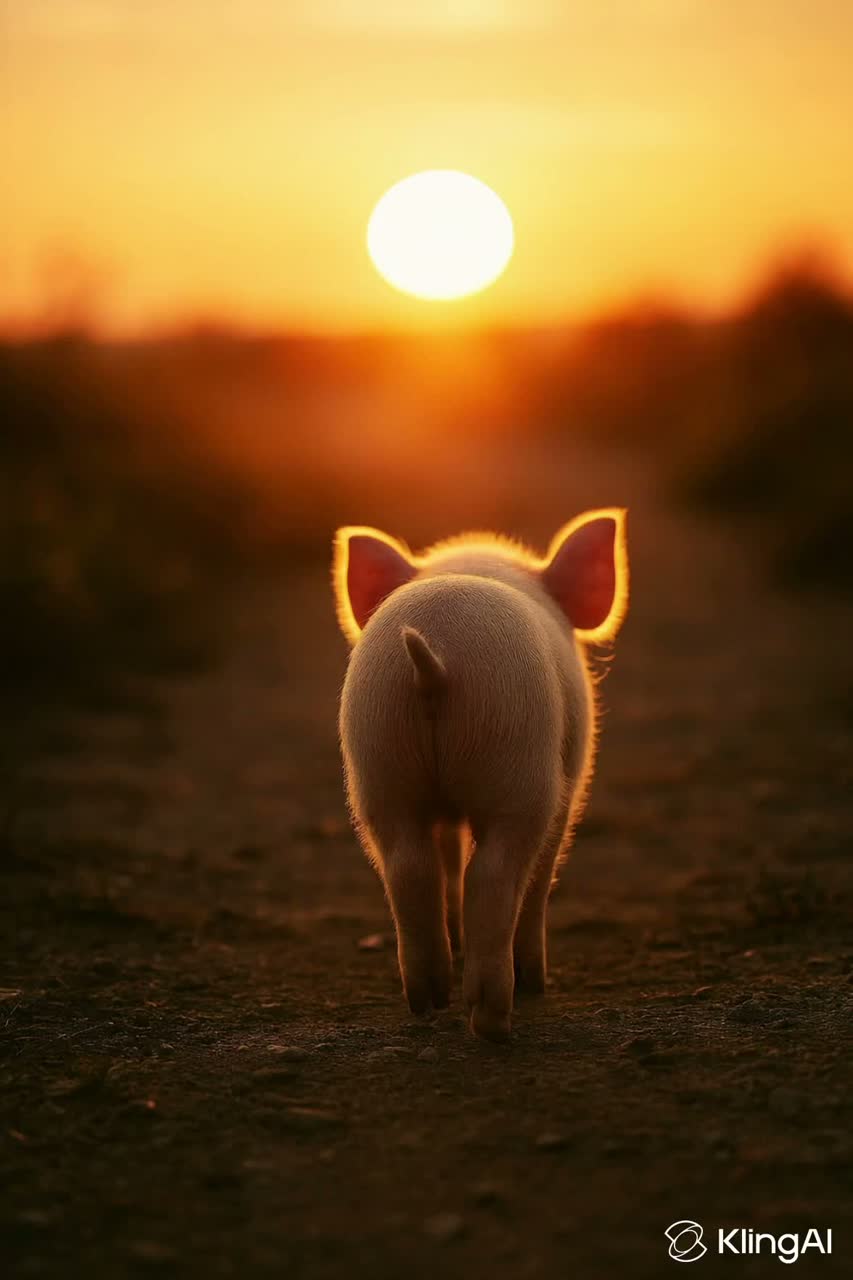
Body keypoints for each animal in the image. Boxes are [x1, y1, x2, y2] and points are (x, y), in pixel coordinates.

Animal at [332, 511, 628, 1040]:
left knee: (410, 865)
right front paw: (536, 982)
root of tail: (436, 657)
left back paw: (428, 999)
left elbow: (448, 853)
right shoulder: (570, 784)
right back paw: (496, 1016)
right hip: (519, 763)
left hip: (376, 761)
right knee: (494, 875)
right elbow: (541, 873)